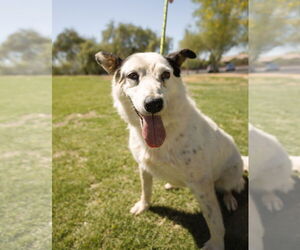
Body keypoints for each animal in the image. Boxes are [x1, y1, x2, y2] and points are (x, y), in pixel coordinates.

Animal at [95, 49, 245, 250]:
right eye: (133, 76)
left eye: (166, 75)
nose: (154, 104)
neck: (166, 130)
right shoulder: (144, 167)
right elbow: (146, 190)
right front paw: (144, 206)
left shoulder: (202, 184)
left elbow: (214, 219)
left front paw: (216, 243)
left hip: (229, 176)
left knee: (229, 188)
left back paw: (229, 199)